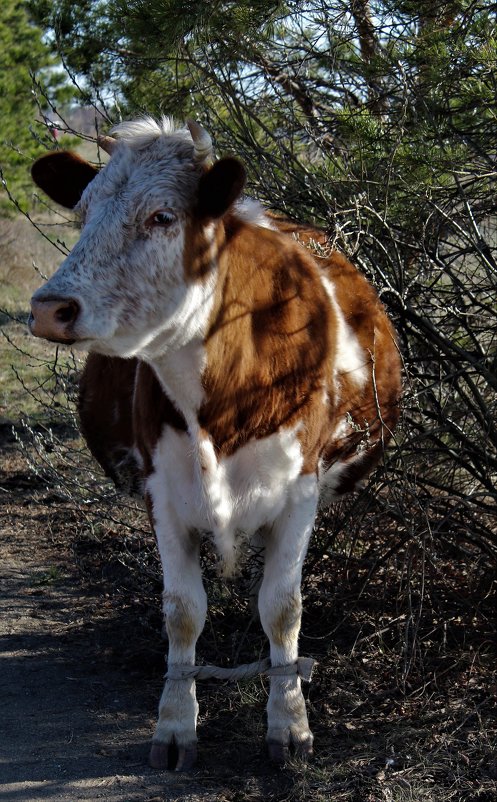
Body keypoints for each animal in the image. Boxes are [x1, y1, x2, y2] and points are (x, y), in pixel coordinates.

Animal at [27, 114, 402, 768]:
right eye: (84, 213)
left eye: (162, 216)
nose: (51, 308)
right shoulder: (163, 492)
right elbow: (183, 613)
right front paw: (175, 726)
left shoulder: (301, 492)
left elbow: (282, 610)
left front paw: (290, 727)